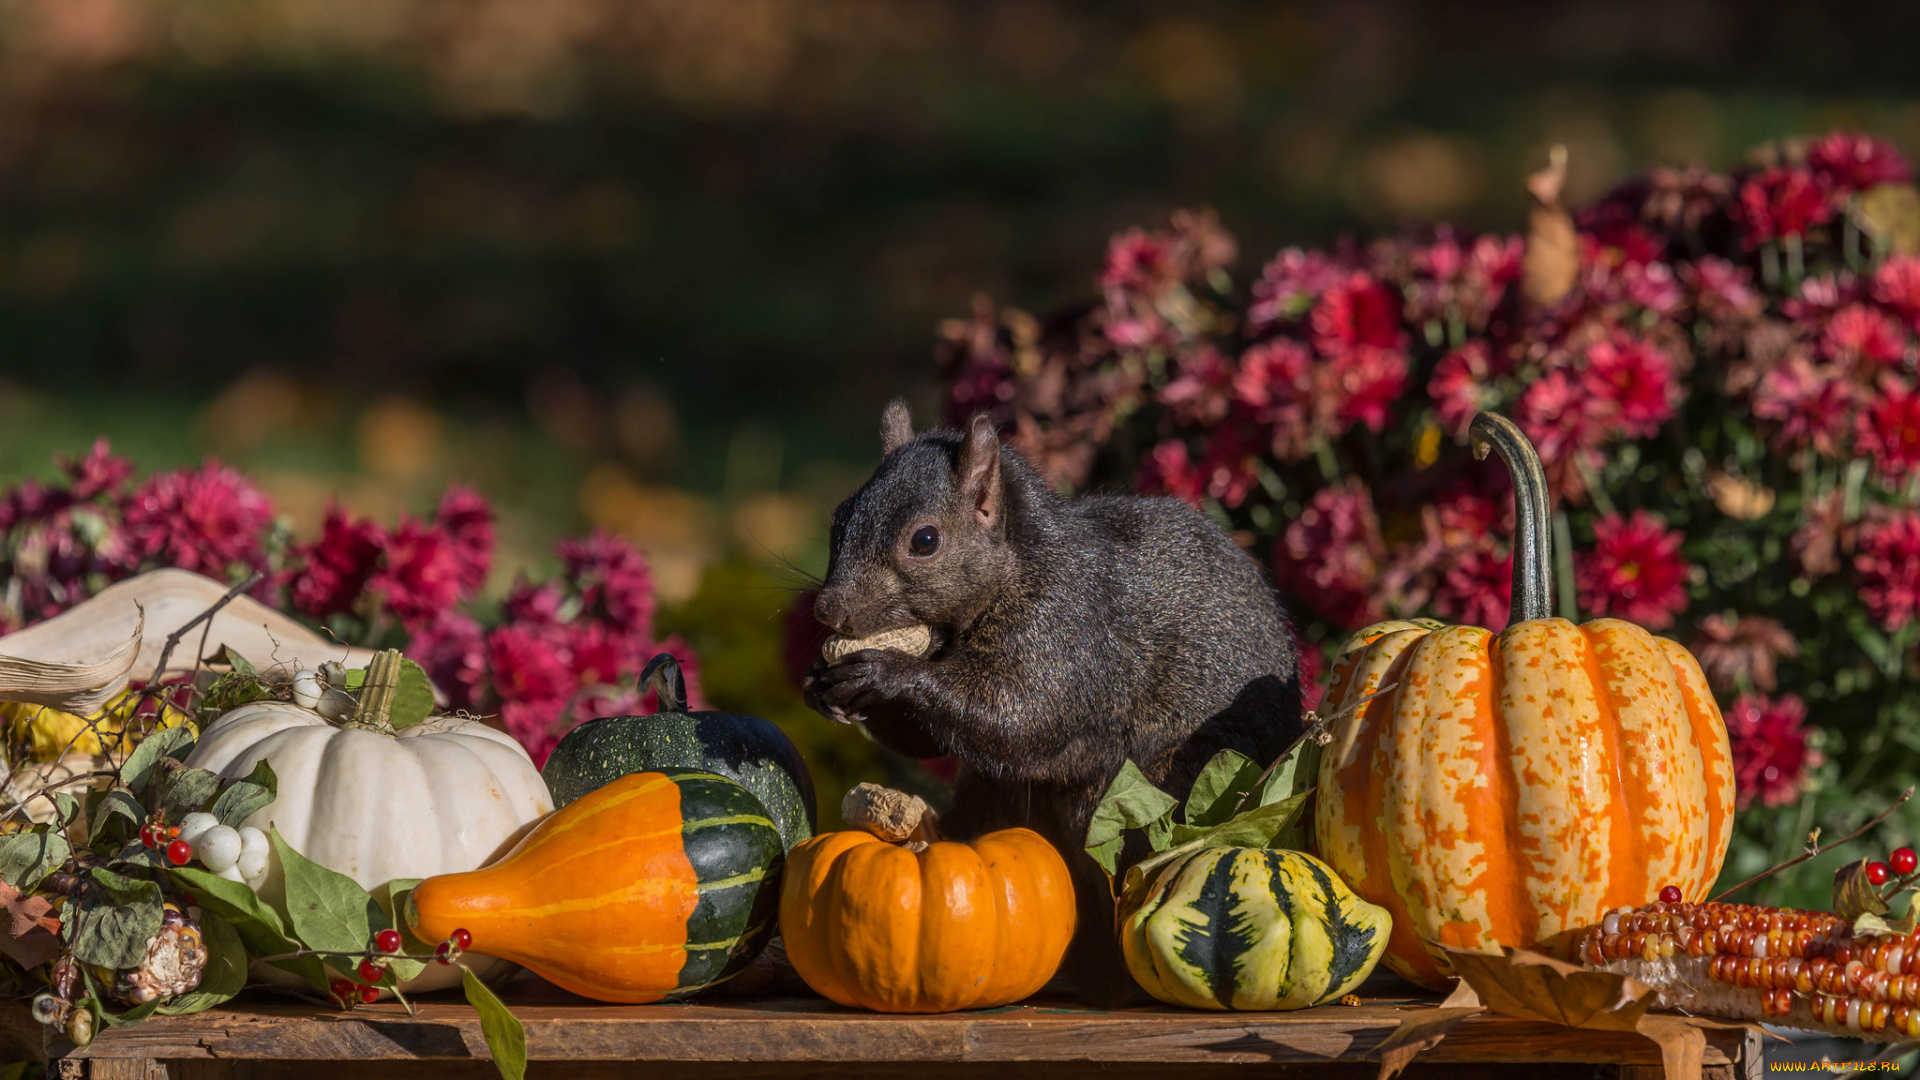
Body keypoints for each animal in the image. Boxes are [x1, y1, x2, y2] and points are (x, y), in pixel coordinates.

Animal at [794, 401, 1305, 999]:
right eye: (838, 519)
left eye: (925, 541)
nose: (829, 610)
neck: (1019, 569)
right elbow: (930, 740)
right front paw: (822, 684)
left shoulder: (1065, 630)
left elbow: (1019, 715)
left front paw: (887, 671)